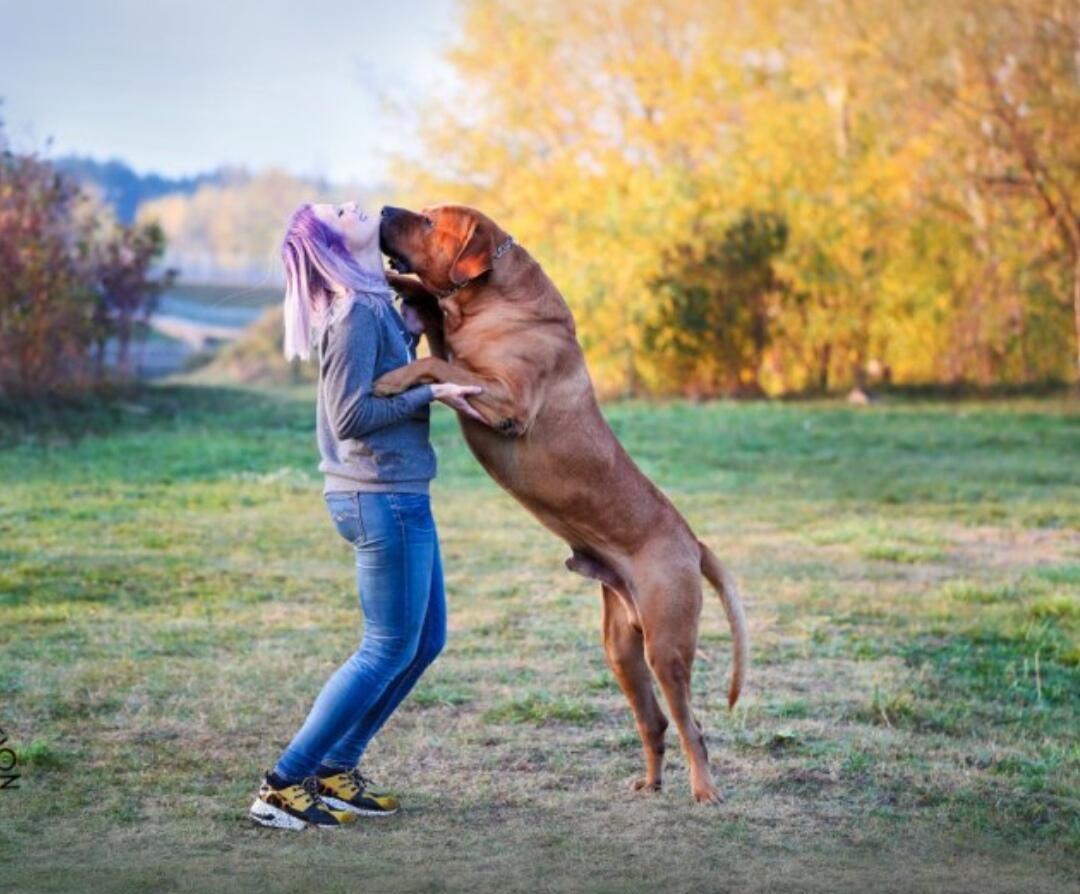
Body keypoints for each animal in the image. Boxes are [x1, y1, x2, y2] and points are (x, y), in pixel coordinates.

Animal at [375, 202, 747, 803]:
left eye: (431, 222)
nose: (385, 208)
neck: (490, 300)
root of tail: (693, 540)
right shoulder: (455, 342)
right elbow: (435, 322)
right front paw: (398, 282)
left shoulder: (506, 399)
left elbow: (440, 366)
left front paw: (392, 377)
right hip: (621, 648)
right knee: (655, 721)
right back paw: (650, 781)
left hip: (666, 646)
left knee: (692, 725)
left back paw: (704, 789)